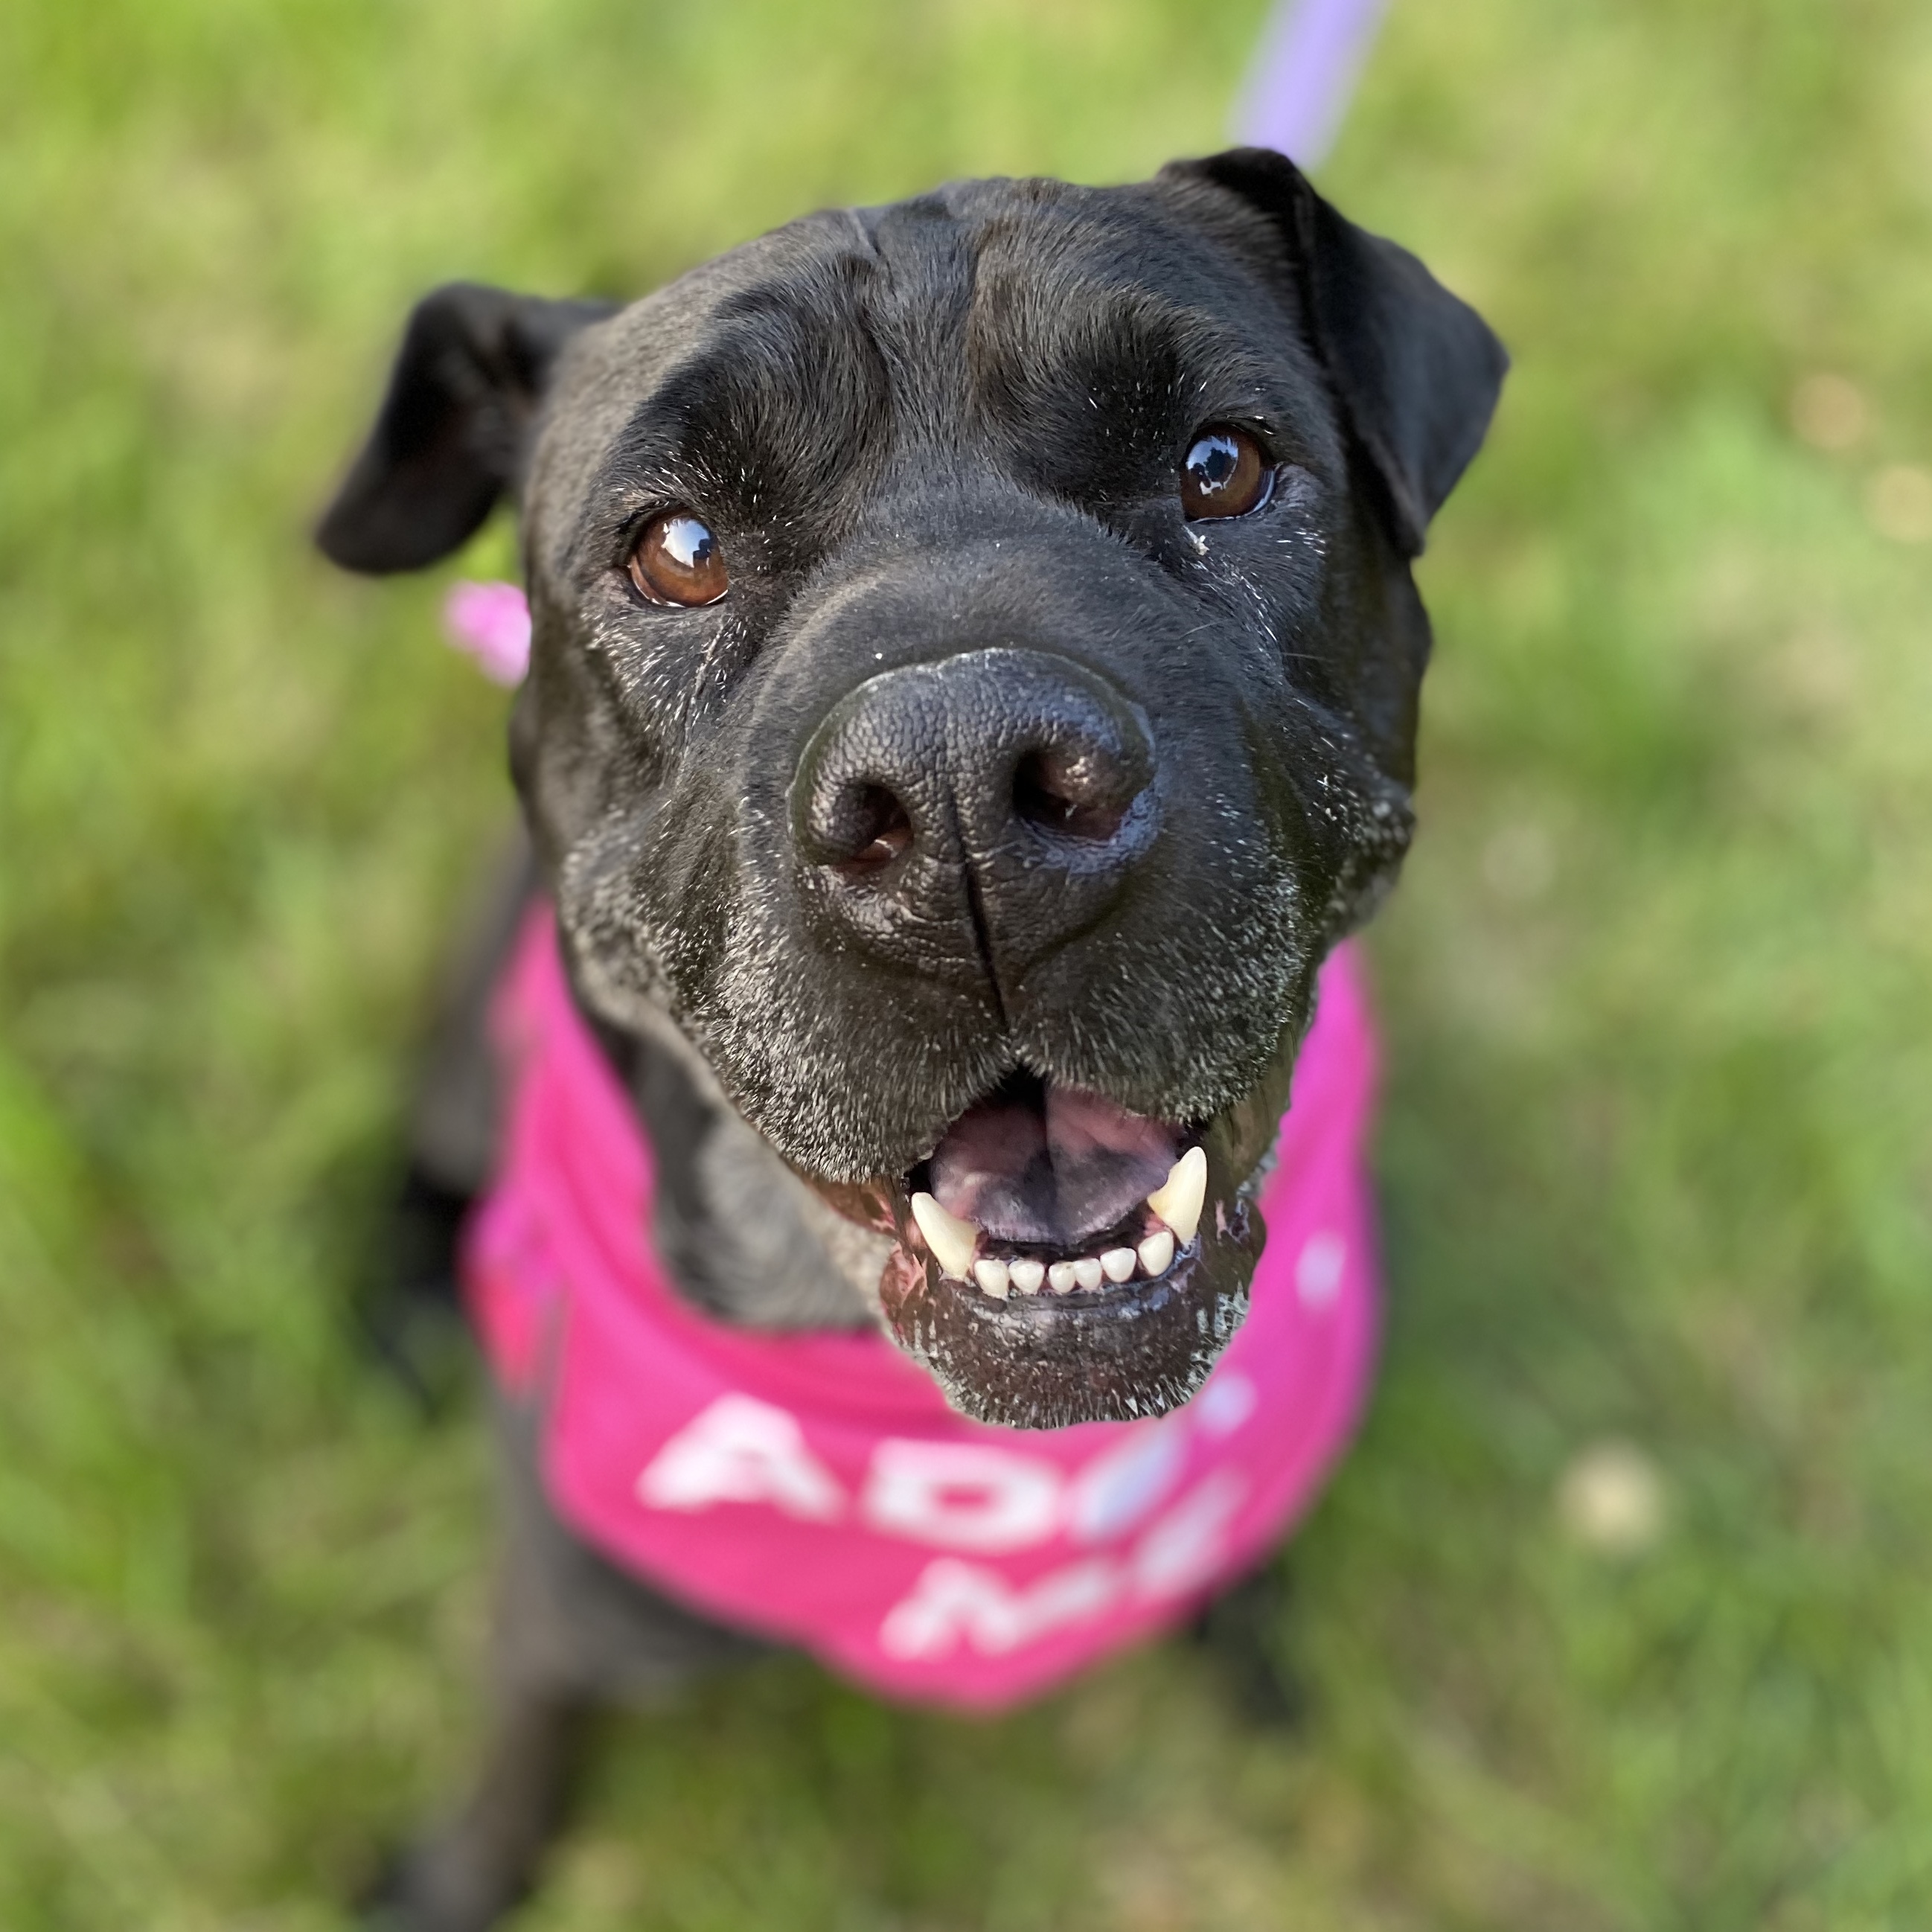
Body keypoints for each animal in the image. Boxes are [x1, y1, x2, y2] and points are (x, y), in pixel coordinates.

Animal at [320, 150, 1506, 1932]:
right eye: (676, 549)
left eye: (1218, 464)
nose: (964, 796)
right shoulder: (560, 1602)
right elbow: (522, 1753)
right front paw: (460, 1877)